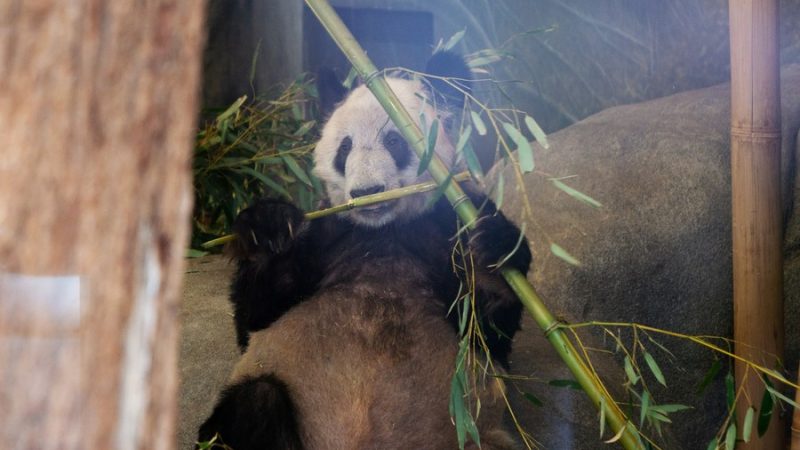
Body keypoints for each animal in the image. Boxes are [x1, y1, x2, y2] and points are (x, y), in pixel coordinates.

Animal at [197, 52, 532, 450]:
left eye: (395, 141)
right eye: (345, 148)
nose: (366, 192)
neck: (382, 231)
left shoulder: (446, 224)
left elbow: (489, 328)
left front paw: (496, 250)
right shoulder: (328, 235)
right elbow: (255, 318)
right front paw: (269, 229)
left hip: (474, 437)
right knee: (253, 403)